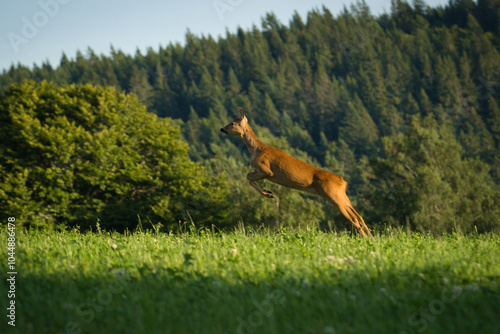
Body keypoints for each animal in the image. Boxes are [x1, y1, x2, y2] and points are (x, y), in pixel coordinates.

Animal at [221, 105, 374, 239]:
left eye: (233, 122)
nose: (222, 129)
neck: (257, 149)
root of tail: (343, 181)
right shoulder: (259, 171)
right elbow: (248, 176)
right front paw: (269, 192)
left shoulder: (267, 171)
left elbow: (250, 178)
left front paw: (269, 194)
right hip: (341, 195)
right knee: (359, 216)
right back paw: (371, 239)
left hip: (333, 195)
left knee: (354, 219)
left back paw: (366, 239)